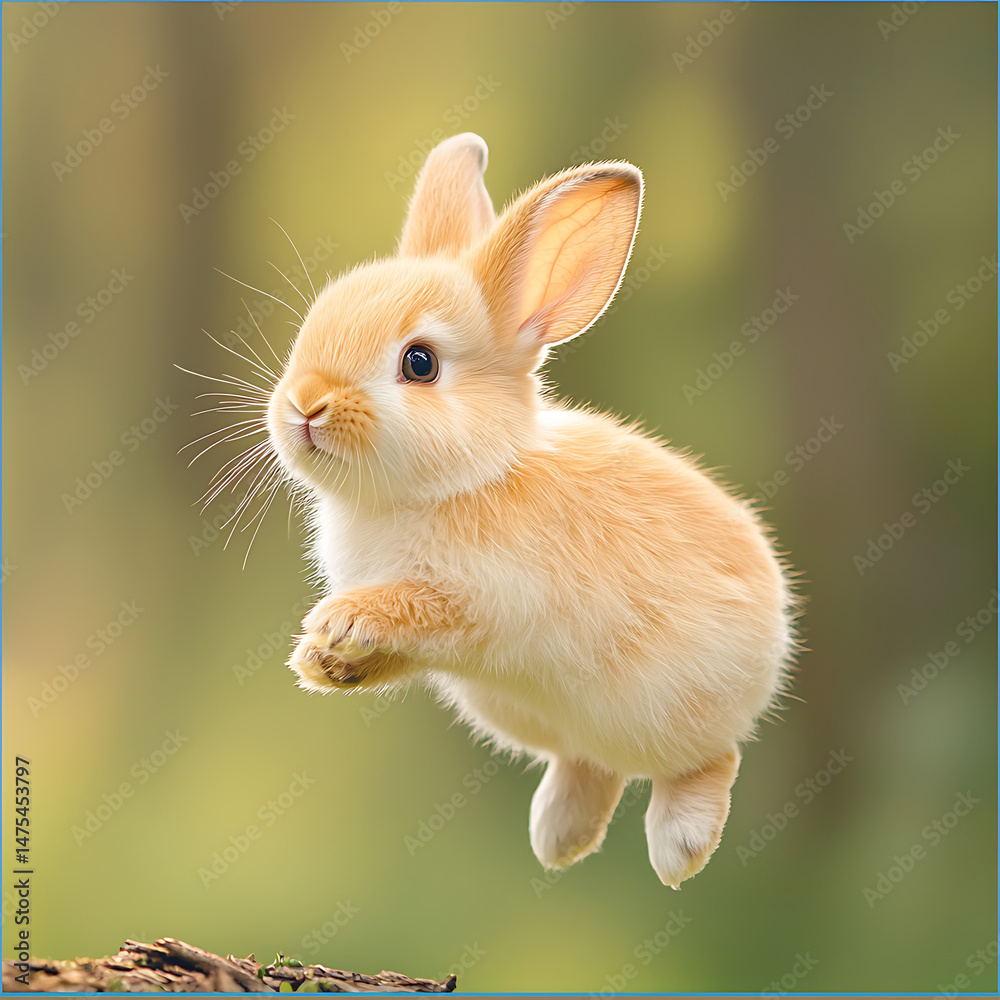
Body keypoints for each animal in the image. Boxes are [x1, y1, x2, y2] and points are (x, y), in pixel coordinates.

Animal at [266, 132, 796, 887]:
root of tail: (776, 641)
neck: (464, 478)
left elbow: (420, 612)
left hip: (675, 709)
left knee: (710, 757)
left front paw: (339, 623)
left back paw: (679, 848)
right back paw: (558, 838)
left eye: (420, 363)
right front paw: (323, 664)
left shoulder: (480, 600)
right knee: (590, 764)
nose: (305, 404)